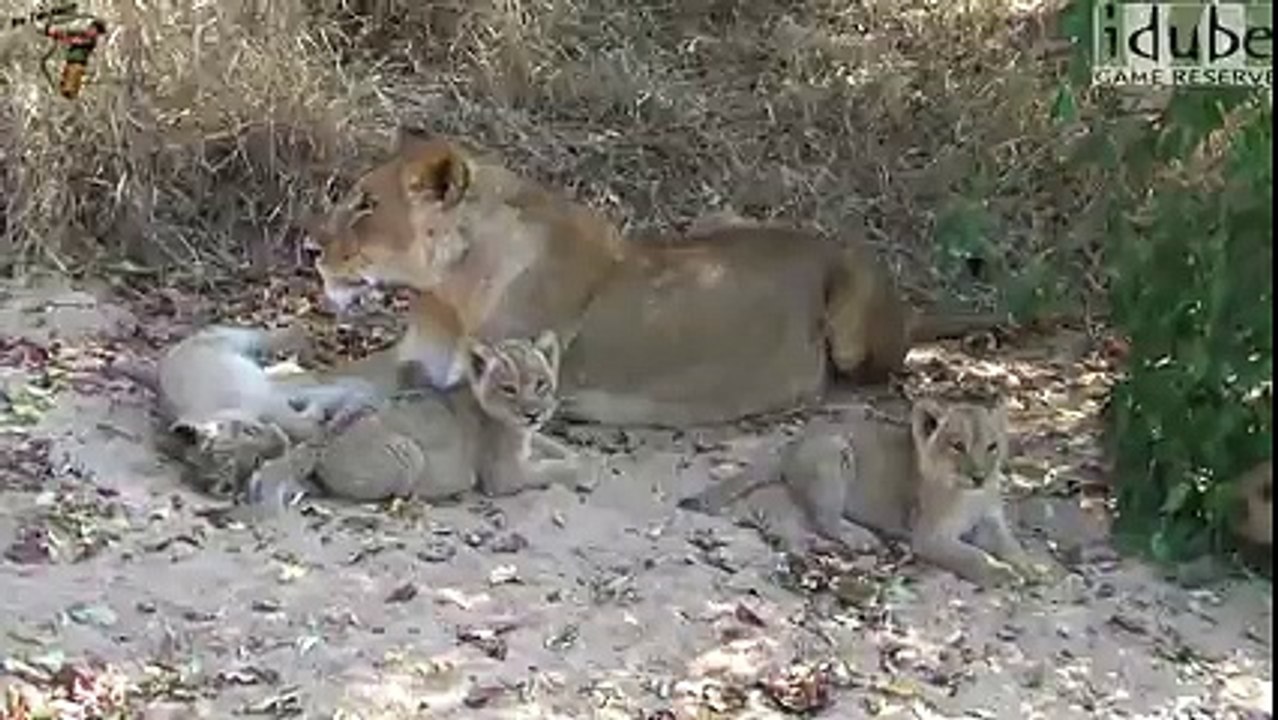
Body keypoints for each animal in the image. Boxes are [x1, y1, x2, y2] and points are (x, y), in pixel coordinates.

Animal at [306, 129, 999, 427]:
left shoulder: (503, 384)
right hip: (715, 219)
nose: (309, 247)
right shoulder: (410, 360)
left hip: (852, 320)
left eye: (366, 205)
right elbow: (319, 376)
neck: (448, 292)